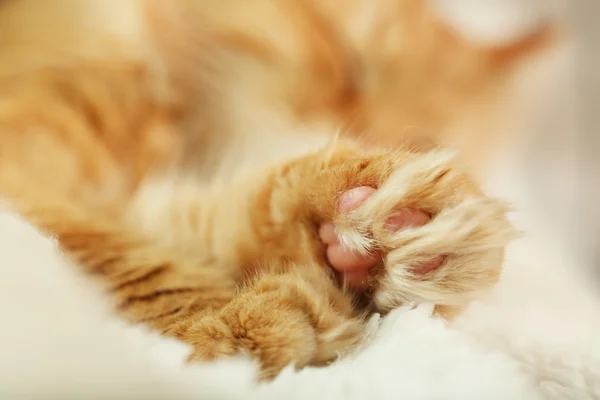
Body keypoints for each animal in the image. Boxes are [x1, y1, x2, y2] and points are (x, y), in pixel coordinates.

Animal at [0, 0, 552, 378]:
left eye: (421, 139)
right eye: (353, 64)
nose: (363, 131)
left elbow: (234, 209)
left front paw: (372, 239)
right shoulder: (29, 163)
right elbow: (119, 252)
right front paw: (218, 324)